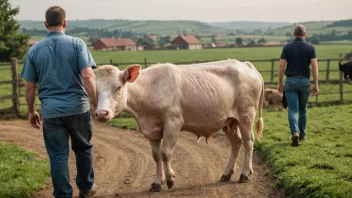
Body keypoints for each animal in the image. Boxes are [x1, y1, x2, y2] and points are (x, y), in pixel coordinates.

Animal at [95, 59, 262, 192]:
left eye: (118, 87)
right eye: (96, 91)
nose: (101, 114)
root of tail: (245, 64)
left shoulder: (173, 122)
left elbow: (165, 153)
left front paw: (170, 179)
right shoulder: (152, 129)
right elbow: (156, 156)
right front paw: (157, 183)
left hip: (246, 115)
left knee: (248, 142)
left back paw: (245, 174)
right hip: (228, 121)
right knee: (236, 143)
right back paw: (226, 174)